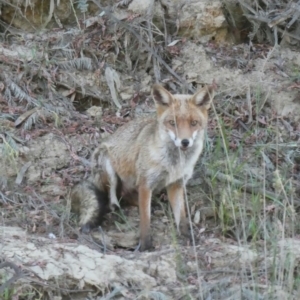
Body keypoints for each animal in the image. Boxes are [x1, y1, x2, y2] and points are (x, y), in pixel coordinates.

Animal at [71, 84, 214, 251]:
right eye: (172, 123)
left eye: (194, 123)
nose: (185, 142)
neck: (174, 163)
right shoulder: (146, 183)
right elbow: (145, 220)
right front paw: (145, 246)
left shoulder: (176, 184)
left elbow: (182, 218)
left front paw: (188, 237)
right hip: (108, 166)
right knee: (114, 199)